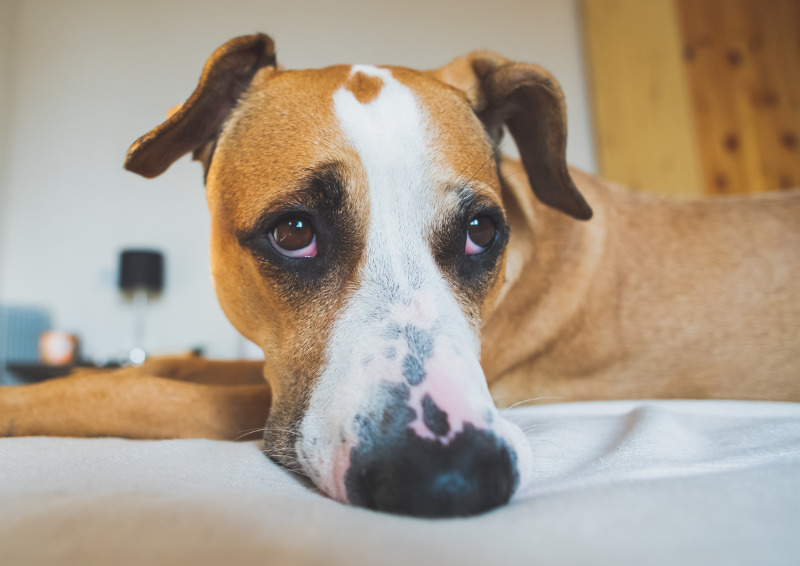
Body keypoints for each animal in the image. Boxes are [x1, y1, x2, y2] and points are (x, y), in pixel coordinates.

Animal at [1, 32, 800, 520]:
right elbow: (155, 368)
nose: (449, 481)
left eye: (483, 231)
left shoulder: (250, 405)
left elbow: (134, 394)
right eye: (294, 233)